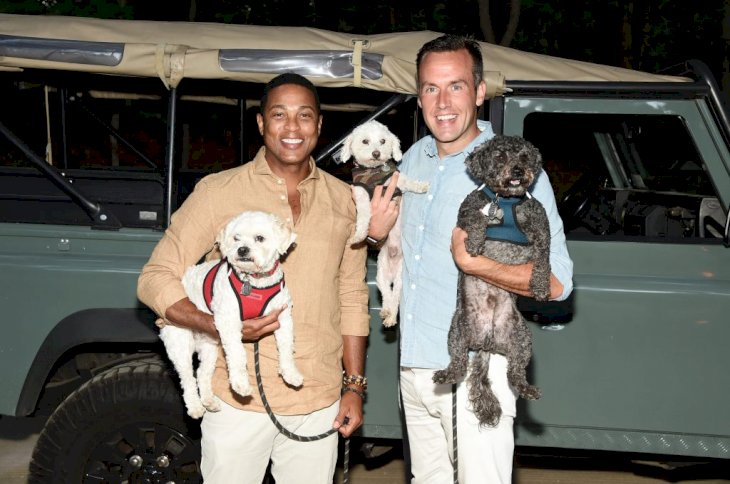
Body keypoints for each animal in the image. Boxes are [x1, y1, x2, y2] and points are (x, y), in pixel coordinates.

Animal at [159, 210, 302, 418]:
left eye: (260, 238)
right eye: (236, 238)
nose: (242, 250)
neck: (254, 281)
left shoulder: (283, 318)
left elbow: (286, 348)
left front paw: (290, 372)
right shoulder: (229, 321)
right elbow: (237, 354)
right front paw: (240, 383)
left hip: (209, 347)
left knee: (202, 373)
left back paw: (209, 401)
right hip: (179, 343)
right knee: (187, 378)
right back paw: (195, 406)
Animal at [340, 119, 430, 328]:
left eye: (382, 141)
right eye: (365, 141)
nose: (376, 153)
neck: (373, 172)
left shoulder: (396, 181)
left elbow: (410, 182)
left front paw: (421, 186)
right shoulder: (361, 194)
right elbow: (364, 215)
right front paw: (360, 234)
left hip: (400, 279)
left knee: (395, 296)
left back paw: (390, 316)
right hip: (381, 276)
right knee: (387, 295)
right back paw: (387, 313)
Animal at [432, 135, 544, 428]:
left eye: (524, 157)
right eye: (501, 157)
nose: (518, 171)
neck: (503, 201)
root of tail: (487, 342)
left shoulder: (540, 226)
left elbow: (544, 258)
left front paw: (541, 285)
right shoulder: (466, 213)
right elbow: (476, 219)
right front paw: (475, 241)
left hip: (522, 339)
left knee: (515, 372)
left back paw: (526, 387)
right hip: (457, 332)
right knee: (459, 363)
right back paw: (446, 374)